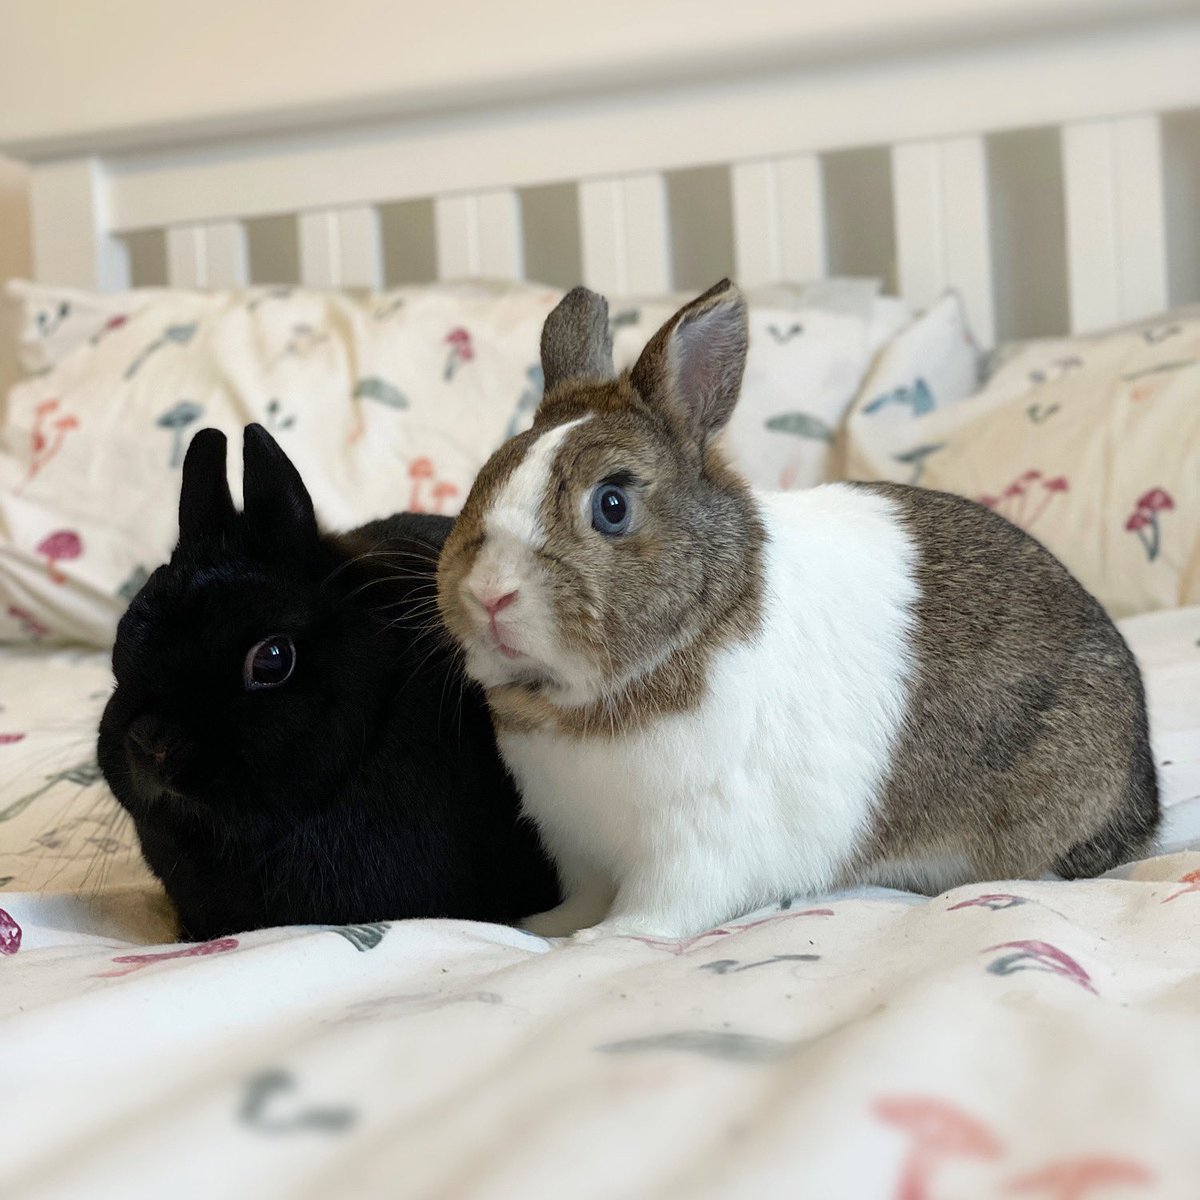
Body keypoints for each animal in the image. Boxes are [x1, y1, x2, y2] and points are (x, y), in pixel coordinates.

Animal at [436, 280, 1160, 941]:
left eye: (611, 505)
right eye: (485, 479)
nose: (489, 593)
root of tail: (1141, 778)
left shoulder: (694, 840)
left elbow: (659, 908)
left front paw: (604, 941)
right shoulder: (578, 846)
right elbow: (583, 897)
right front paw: (546, 929)